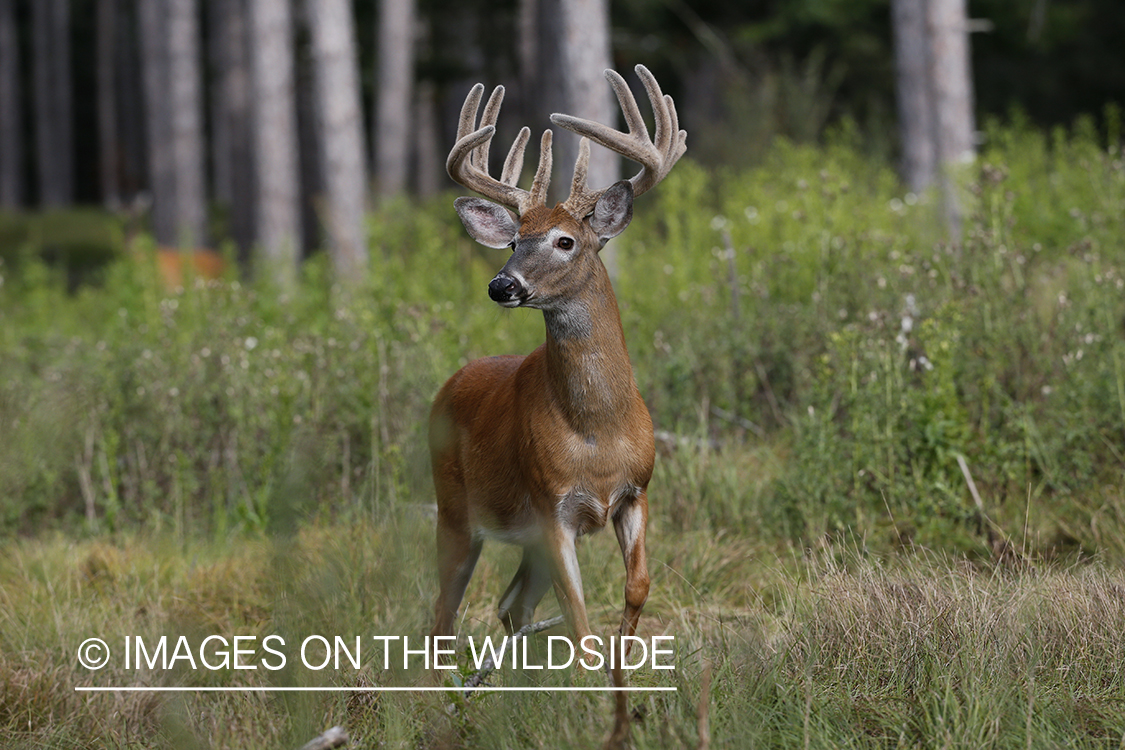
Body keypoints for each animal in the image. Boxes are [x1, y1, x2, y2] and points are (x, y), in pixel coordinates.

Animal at [429, 66, 684, 737]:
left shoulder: (635, 493)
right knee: (441, 617)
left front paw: (623, 689)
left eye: (566, 241)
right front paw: (598, 704)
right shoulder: (552, 507)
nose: (502, 285)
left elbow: (636, 589)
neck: (597, 429)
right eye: (513, 241)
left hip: (521, 541)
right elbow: (580, 618)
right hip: (454, 512)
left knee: (510, 605)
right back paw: (448, 706)